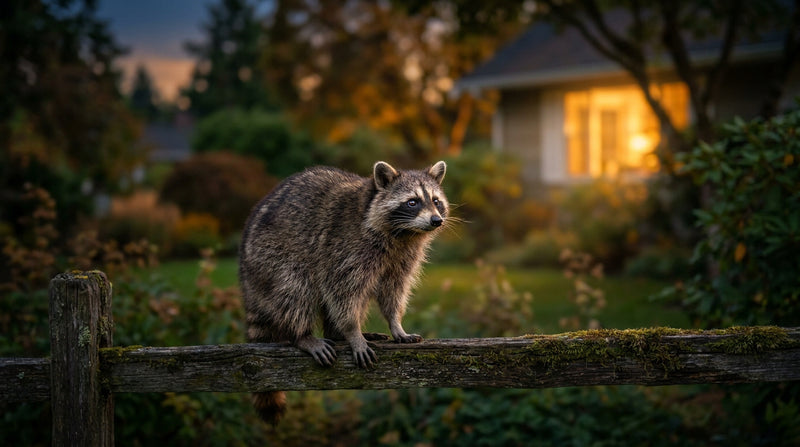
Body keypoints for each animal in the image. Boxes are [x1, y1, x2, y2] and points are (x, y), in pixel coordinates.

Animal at [239, 160, 449, 424]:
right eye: (412, 202)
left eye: (436, 201)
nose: (436, 220)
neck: (403, 233)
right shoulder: (344, 247)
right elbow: (342, 291)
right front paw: (352, 332)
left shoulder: (403, 257)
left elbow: (393, 290)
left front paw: (395, 324)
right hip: (271, 257)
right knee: (295, 288)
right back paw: (302, 335)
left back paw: (336, 334)